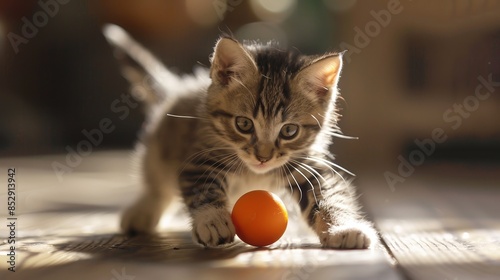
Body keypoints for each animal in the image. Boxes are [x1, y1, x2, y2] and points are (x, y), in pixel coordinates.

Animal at [104, 23, 376, 247]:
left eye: (289, 131)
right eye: (244, 124)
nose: (263, 157)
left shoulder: (308, 166)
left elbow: (332, 195)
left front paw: (344, 228)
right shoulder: (198, 157)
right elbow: (203, 187)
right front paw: (212, 220)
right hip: (162, 142)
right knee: (157, 180)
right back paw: (143, 211)